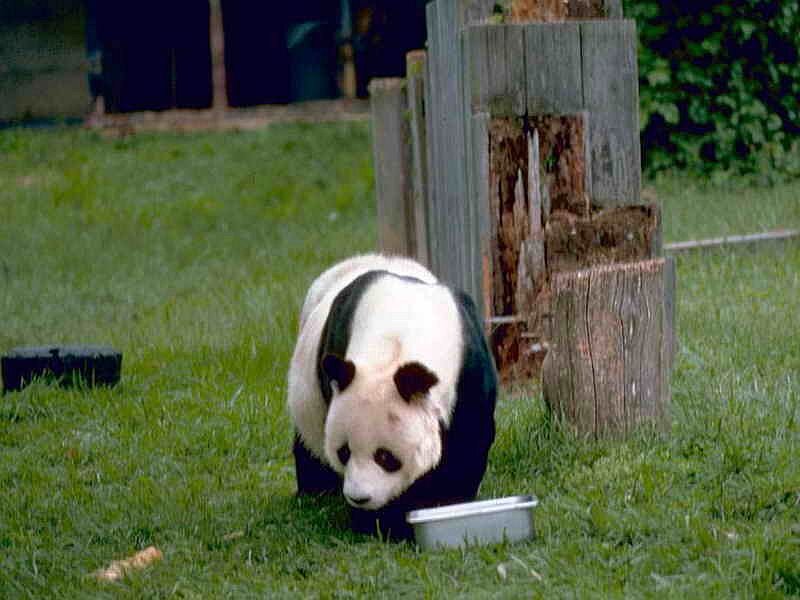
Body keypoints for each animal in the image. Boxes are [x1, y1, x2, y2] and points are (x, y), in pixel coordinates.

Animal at [287, 254, 498, 539]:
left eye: (385, 457)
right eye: (344, 452)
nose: (359, 498)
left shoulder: (469, 370)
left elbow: (467, 444)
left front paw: (442, 502)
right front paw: (379, 522)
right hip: (309, 396)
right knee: (309, 447)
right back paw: (315, 492)